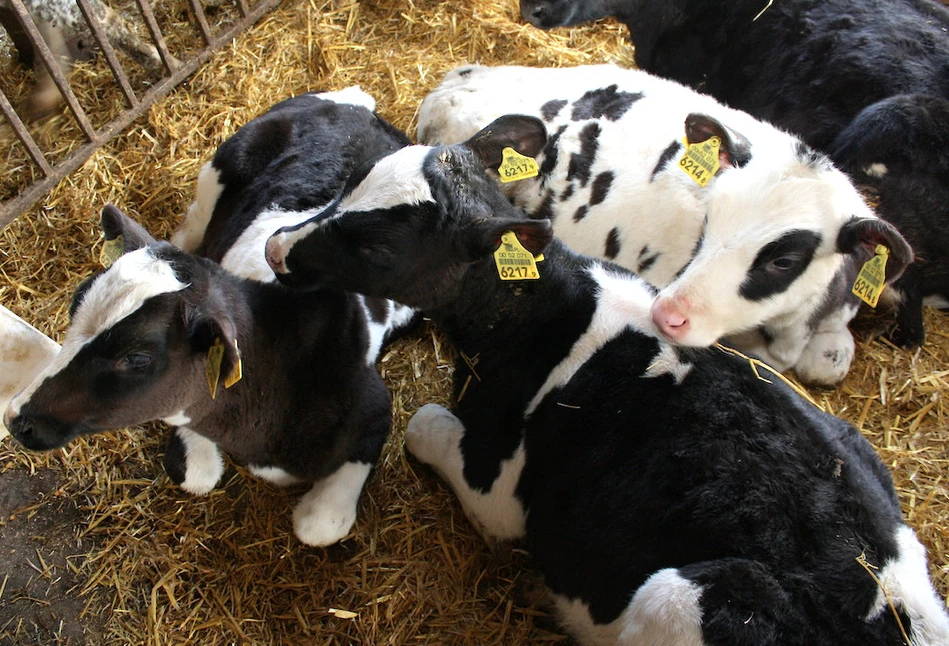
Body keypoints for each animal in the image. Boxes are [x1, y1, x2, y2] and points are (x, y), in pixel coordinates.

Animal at [262, 121, 948, 646]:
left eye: (376, 248)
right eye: (352, 184)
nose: (276, 248)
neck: (542, 312)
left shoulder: (497, 491)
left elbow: (424, 421)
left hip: (681, 598)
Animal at [416, 65, 912, 388]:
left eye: (786, 260)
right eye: (709, 221)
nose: (667, 314)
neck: (785, 331)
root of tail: (455, 79)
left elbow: (830, 361)